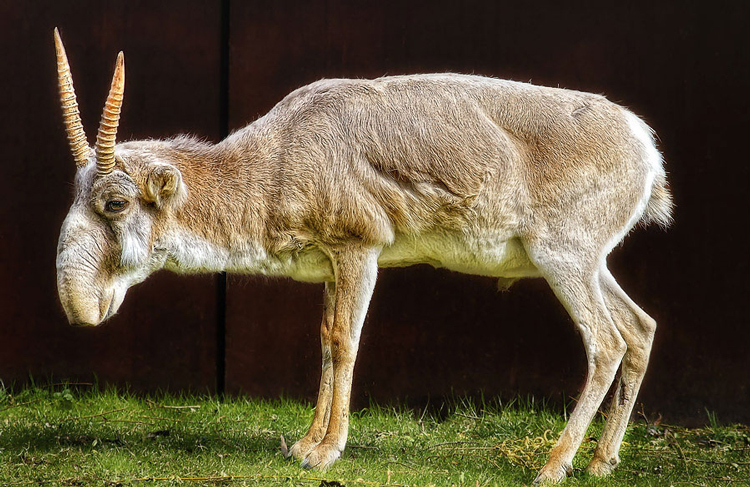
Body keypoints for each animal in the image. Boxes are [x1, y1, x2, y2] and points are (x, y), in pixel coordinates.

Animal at [55, 29, 672, 484]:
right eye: (75, 191)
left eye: (114, 202)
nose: (78, 307)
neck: (277, 158)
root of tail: (646, 145)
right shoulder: (331, 265)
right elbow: (327, 341)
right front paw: (305, 443)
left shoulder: (360, 251)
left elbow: (348, 343)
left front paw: (328, 451)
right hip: (591, 263)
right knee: (641, 328)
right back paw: (602, 461)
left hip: (564, 259)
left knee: (607, 342)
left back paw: (554, 465)